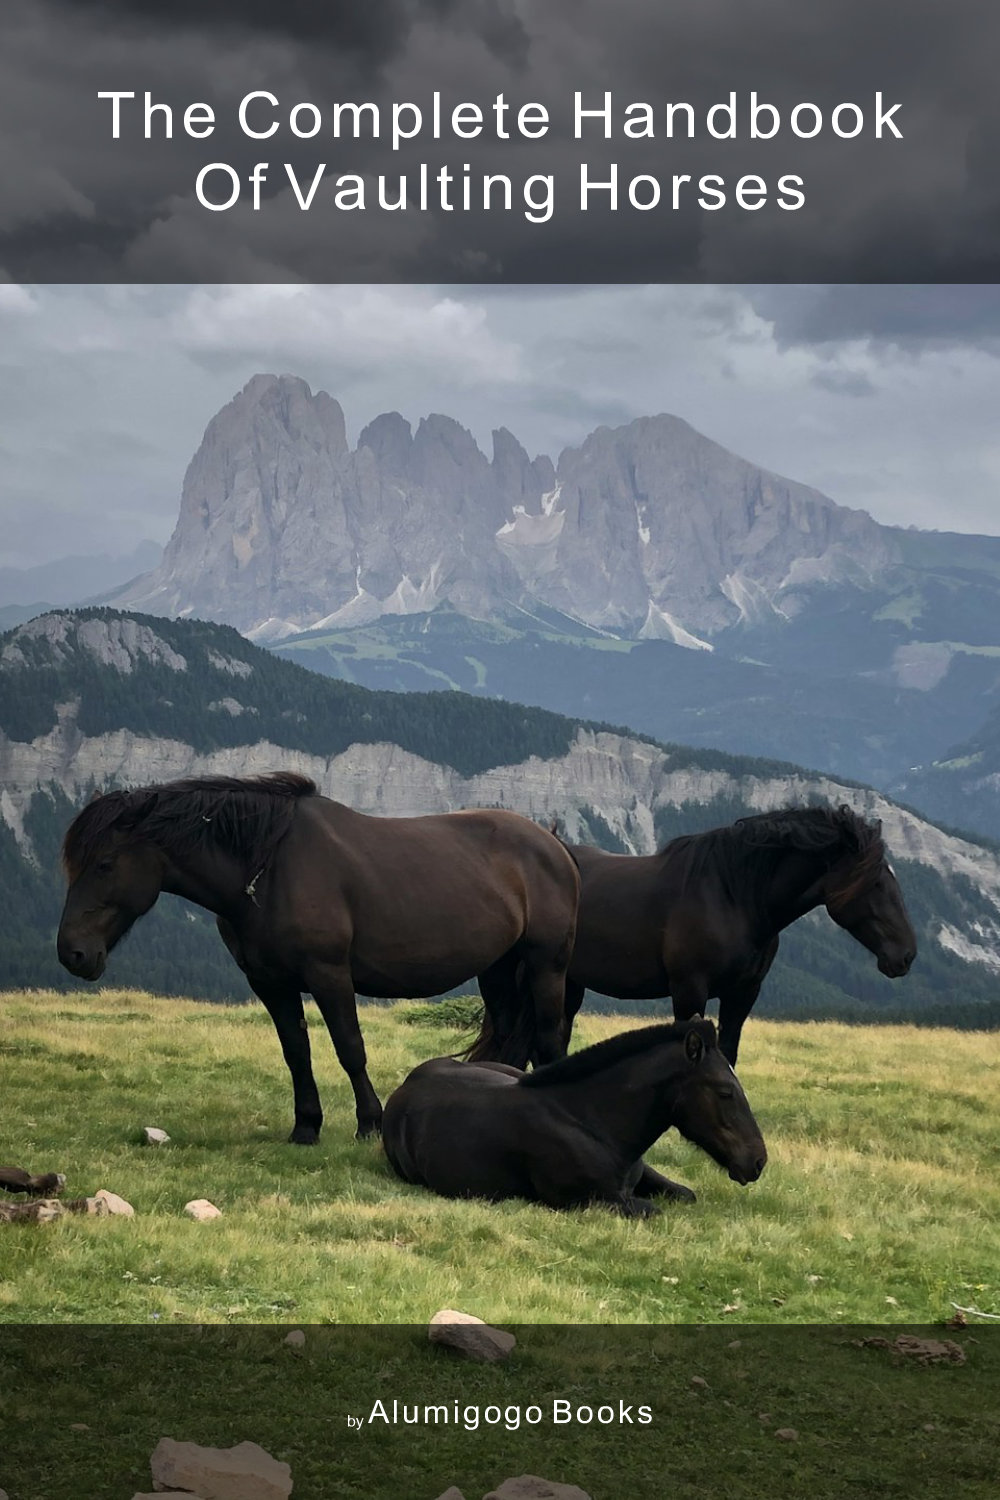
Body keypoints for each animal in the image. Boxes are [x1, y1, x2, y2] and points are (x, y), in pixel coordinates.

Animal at [56, 773, 580, 1143]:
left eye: (105, 864)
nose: (72, 952)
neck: (268, 870)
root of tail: (554, 845)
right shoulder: (270, 983)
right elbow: (296, 1051)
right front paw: (306, 1126)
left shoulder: (329, 975)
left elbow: (349, 1047)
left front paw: (369, 1122)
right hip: (497, 971)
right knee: (511, 1037)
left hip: (546, 965)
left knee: (549, 1038)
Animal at [383, 1016, 767, 1214]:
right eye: (725, 1091)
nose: (758, 1161)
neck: (589, 1121)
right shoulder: (593, 1201)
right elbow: (653, 1210)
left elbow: (686, 1194)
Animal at [470, 804, 916, 1069]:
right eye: (877, 883)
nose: (906, 955)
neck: (733, 896)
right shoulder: (689, 990)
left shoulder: (743, 994)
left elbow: (730, 1052)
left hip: (568, 984)